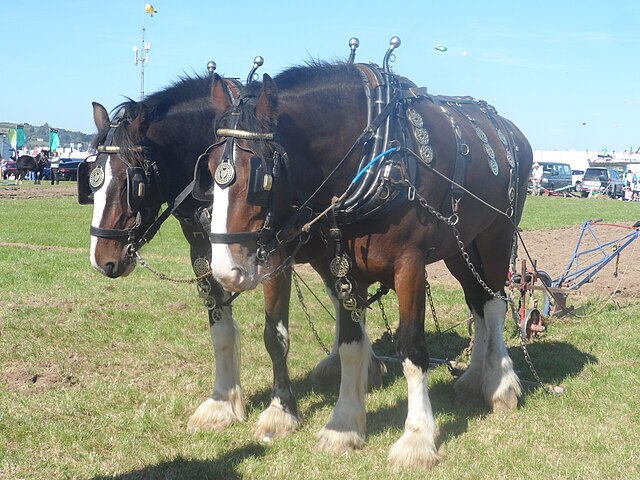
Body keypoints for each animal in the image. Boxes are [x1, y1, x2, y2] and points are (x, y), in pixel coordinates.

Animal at [202, 39, 532, 466]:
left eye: (260, 175)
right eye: (210, 166)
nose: (225, 270)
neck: (375, 153)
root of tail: (513, 132)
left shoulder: (410, 265)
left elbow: (411, 348)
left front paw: (417, 439)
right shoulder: (343, 267)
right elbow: (350, 346)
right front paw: (343, 425)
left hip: (496, 236)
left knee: (494, 304)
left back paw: (501, 383)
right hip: (459, 247)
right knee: (476, 304)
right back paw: (474, 378)